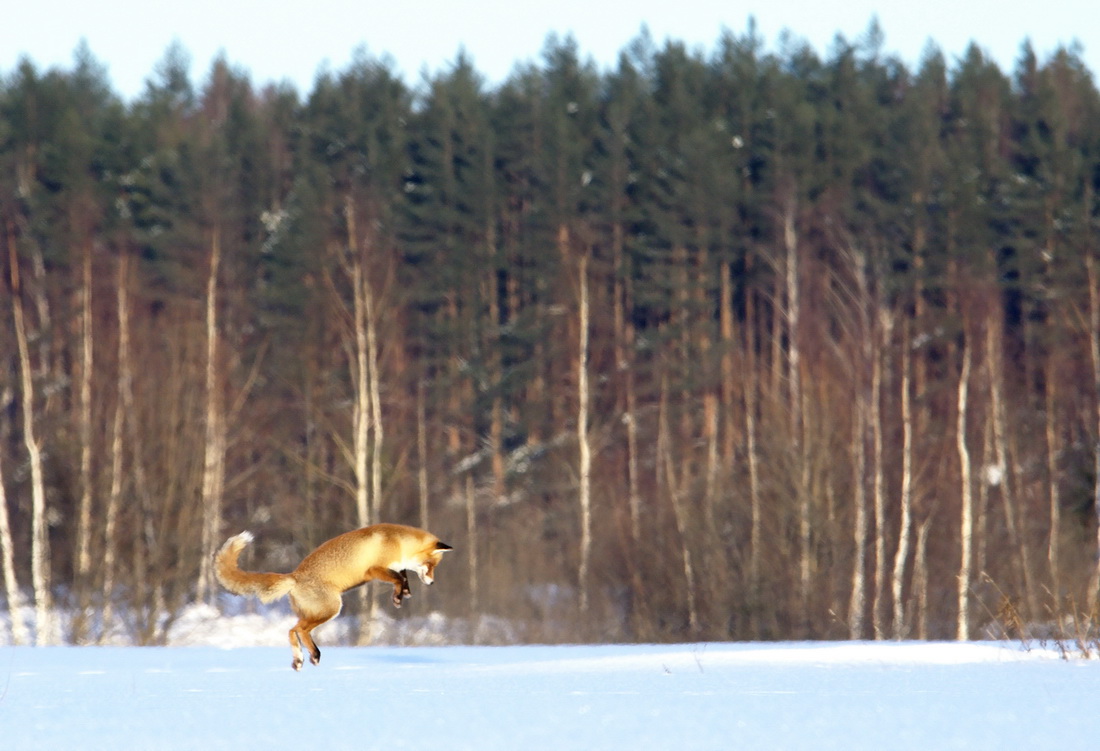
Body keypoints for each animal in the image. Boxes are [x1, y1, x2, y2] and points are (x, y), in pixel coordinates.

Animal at [214, 523, 451, 677]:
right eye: (431, 565)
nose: (431, 583)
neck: (398, 541)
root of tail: (294, 576)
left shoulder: (393, 567)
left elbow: (402, 575)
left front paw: (403, 593)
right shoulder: (374, 569)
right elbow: (399, 576)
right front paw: (399, 594)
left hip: (315, 612)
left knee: (292, 630)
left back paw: (300, 659)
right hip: (331, 609)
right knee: (300, 630)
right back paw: (313, 655)